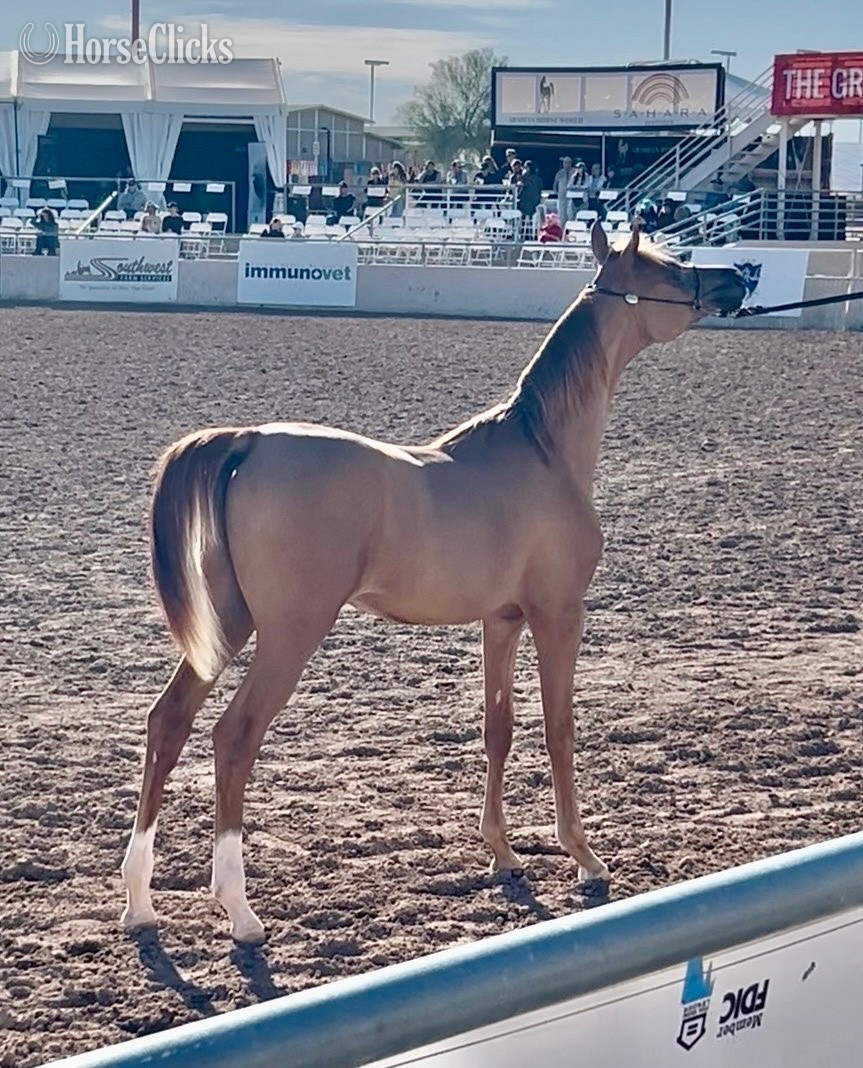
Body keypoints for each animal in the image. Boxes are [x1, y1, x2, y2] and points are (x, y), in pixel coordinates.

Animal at [121, 222, 745, 943]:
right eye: (668, 268)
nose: (736, 278)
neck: (542, 451)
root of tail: (247, 441)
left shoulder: (502, 619)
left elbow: (498, 728)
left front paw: (503, 853)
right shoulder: (559, 614)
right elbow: (559, 729)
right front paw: (584, 858)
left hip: (227, 625)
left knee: (167, 723)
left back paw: (139, 903)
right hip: (289, 635)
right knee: (233, 738)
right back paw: (241, 910)